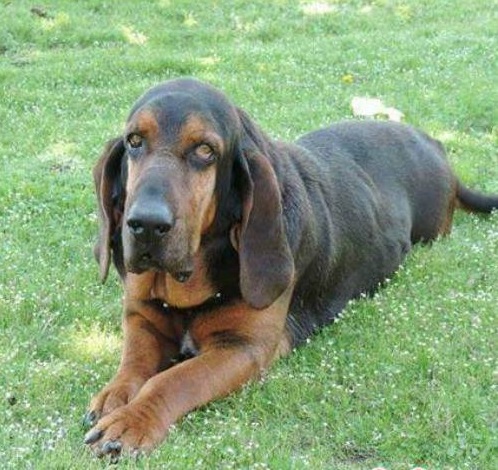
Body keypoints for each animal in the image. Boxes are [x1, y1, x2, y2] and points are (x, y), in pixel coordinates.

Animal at [83, 78, 496, 458]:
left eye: (205, 150)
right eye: (135, 141)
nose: (146, 224)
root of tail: (434, 144)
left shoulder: (244, 347)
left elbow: (174, 380)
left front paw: (132, 421)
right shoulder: (141, 318)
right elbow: (134, 362)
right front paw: (115, 397)